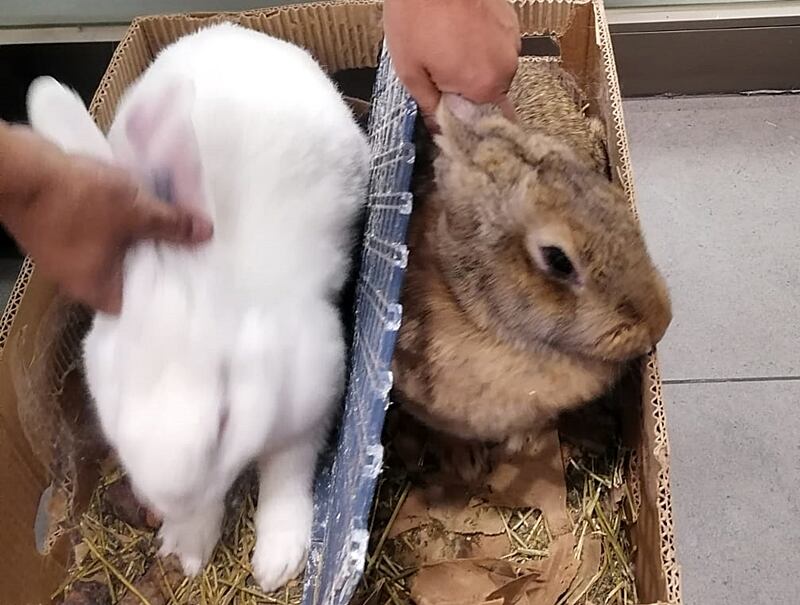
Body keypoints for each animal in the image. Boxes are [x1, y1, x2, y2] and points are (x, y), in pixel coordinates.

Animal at [26, 22, 370, 588]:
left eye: (226, 416)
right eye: (114, 401)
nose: (174, 499)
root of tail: (236, 30)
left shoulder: (311, 405)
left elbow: (285, 476)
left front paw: (276, 561)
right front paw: (187, 545)